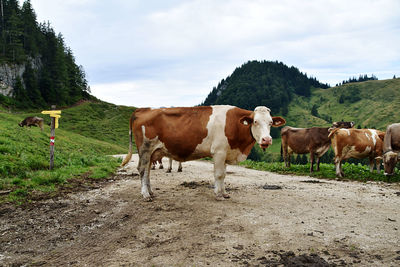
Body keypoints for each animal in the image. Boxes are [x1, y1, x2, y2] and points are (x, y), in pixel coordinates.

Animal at [120, 104, 286, 201]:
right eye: (255, 122)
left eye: (271, 123)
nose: (267, 139)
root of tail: (144, 109)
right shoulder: (219, 152)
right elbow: (218, 174)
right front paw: (218, 194)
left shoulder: (225, 153)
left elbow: (223, 175)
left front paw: (224, 192)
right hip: (145, 149)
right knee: (142, 170)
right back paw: (145, 194)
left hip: (151, 152)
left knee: (147, 171)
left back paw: (150, 192)